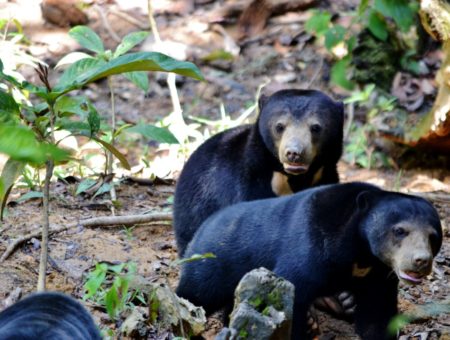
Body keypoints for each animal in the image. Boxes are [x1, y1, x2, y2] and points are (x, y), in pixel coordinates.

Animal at [177, 183, 442, 340]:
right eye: (400, 231)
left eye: (433, 237)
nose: (420, 261)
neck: (361, 251)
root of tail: (202, 227)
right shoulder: (312, 247)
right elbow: (293, 293)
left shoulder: (379, 274)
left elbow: (377, 312)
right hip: (211, 263)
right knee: (195, 294)